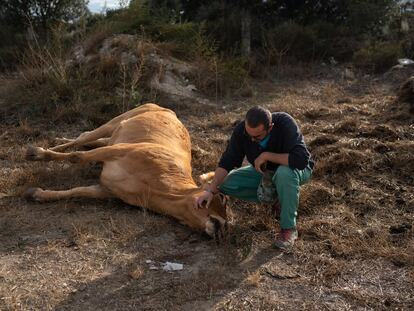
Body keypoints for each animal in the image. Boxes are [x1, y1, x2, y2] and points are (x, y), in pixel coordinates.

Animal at [24, 103, 228, 240]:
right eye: (222, 197)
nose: (225, 227)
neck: (157, 187)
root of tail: (168, 110)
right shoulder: (120, 150)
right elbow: (77, 156)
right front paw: (36, 154)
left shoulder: (108, 190)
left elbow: (77, 191)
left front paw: (36, 193)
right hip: (117, 121)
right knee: (85, 137)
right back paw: (51, 144)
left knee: (92, 139)